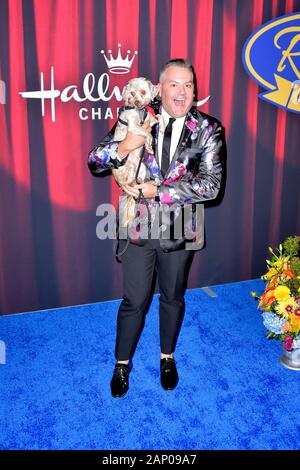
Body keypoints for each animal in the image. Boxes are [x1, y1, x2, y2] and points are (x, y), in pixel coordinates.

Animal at [112, 77, 158, 228]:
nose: (137, 102)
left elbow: (158, 118)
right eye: (131, 93)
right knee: (129, 181)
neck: (139, 111)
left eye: (143, 92)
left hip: (141, 166)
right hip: (128, 169)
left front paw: (161, 127)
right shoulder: (134, 126)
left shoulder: (150, 120)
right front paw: (149, 144)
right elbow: (146, 133)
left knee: (139, 179)